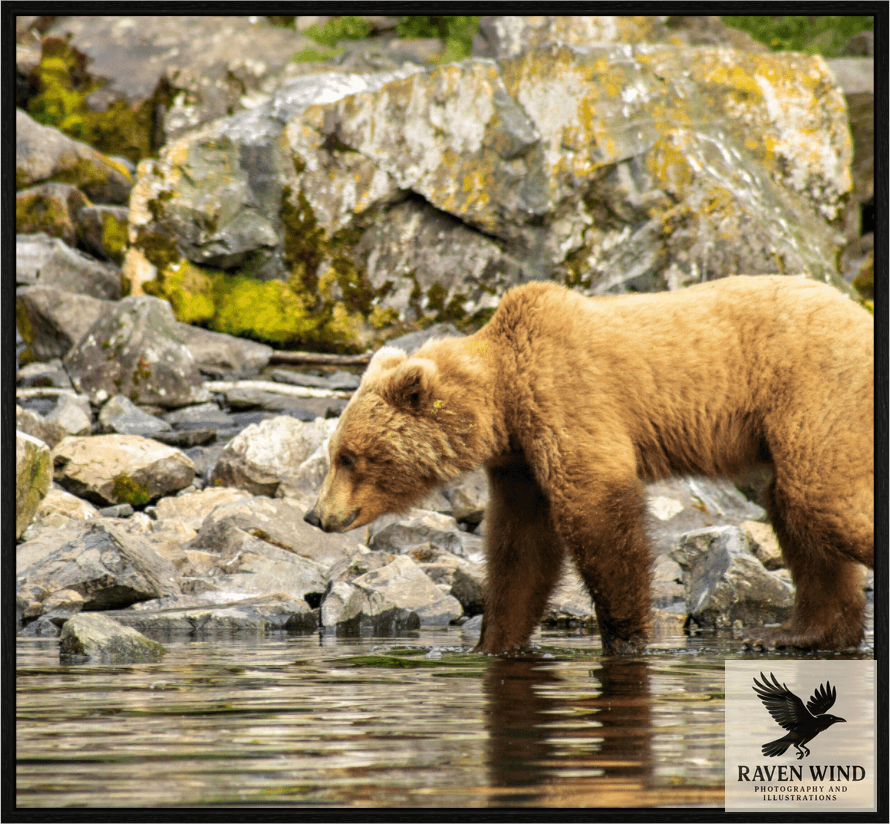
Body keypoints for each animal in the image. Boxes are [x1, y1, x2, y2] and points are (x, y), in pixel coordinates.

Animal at [304, 276, 874, 655]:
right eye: (334, 454)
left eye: (350, 457)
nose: (316, 516)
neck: (503, 401)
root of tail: (859, 313)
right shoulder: (519, 463)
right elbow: (521, 550)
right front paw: (493, 642)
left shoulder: (568, 399)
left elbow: (597, 516)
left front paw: (626, 638)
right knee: (796, 518)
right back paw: (795, 632)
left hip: (815, 395)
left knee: (821, 500)